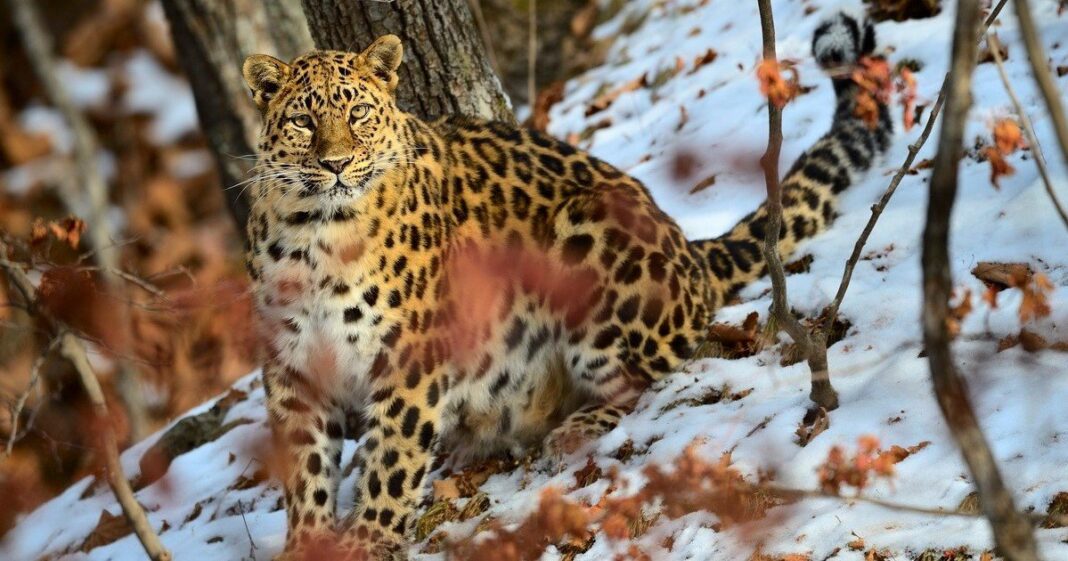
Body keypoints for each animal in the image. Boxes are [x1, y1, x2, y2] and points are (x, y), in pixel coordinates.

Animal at [241, 11, 891, 560]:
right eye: (303, 121)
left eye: (358, 114)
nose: (335, 165)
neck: (316, 235)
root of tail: (690, 250)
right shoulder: (292, 366)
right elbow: (304, 469)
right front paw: (307, 543)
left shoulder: (410, 357)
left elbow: (392, 462)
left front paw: (369, 540)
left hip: (590, 233)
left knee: (644, 380)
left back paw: (571, 433)